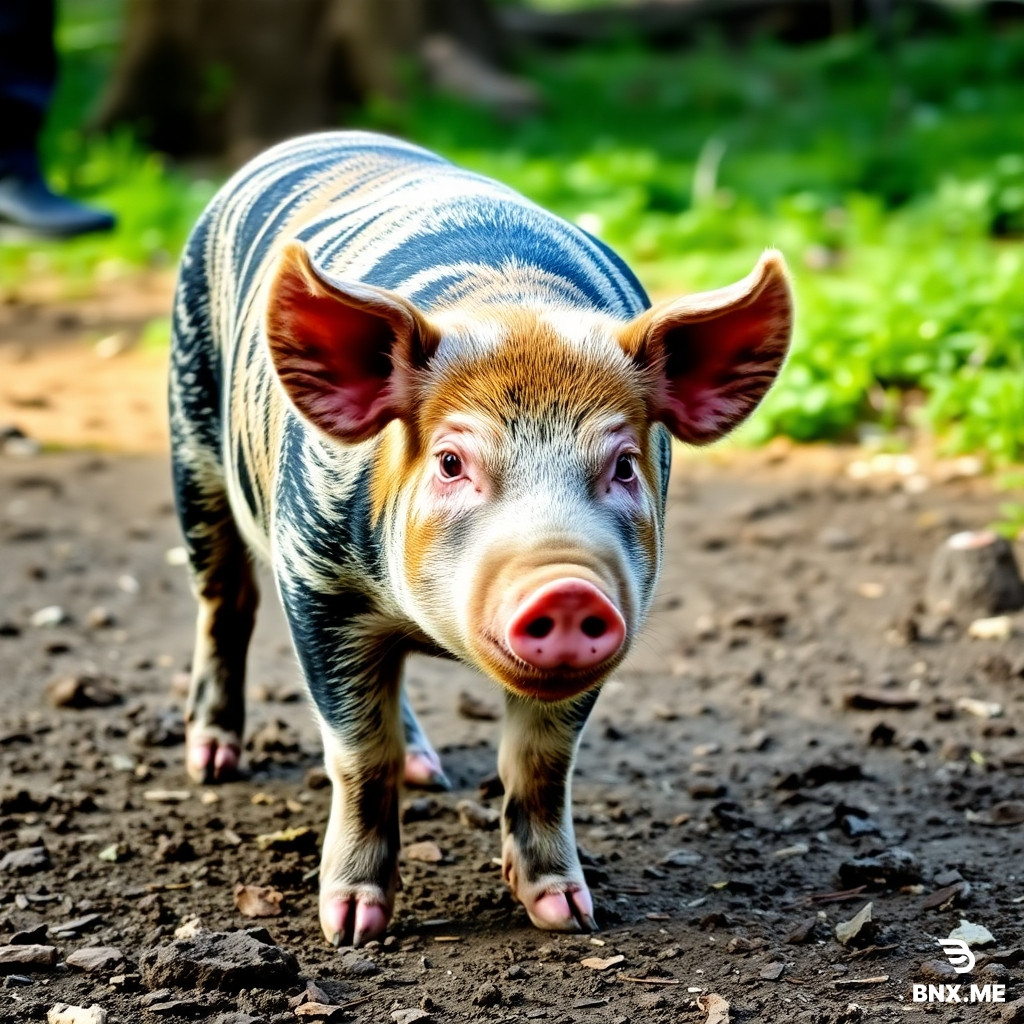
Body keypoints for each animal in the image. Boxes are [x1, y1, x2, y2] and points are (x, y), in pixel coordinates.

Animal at [169, 130, 792, 947]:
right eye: (450, 462)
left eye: (624, 465)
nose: (566, 587)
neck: (511, 305)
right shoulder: (314, 580)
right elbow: (358, 754)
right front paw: (352, 928)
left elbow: (541, 762)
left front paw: (568, 914)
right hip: (191, 447)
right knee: (224, 605)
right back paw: (211, 763)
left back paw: (428, 771)